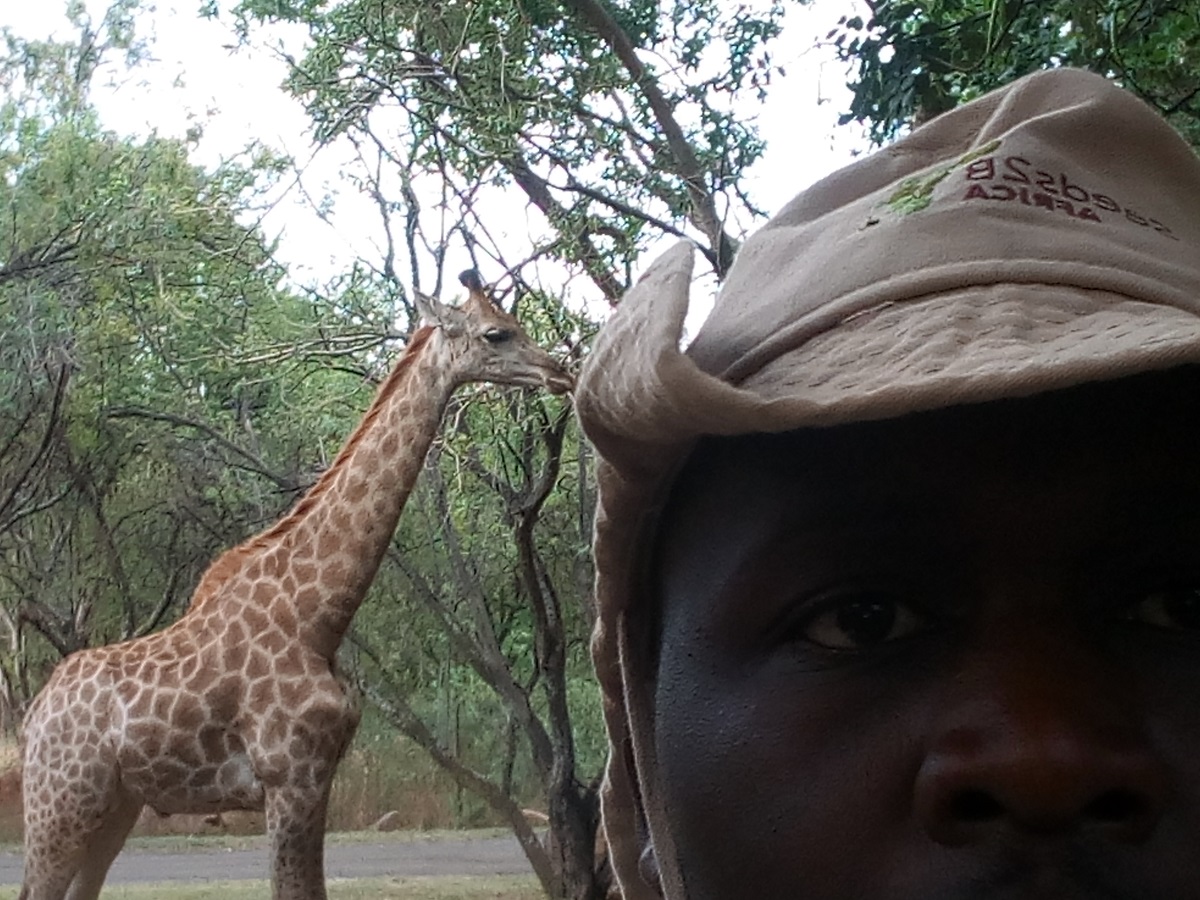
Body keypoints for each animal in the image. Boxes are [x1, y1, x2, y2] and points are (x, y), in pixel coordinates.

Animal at [15, 273, 576, 900]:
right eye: (496, 333)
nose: (560, 371)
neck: (317, 616)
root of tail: (34, 717)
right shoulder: (289, 776)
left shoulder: (320, 775)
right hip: (62, 802)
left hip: (116, 805)